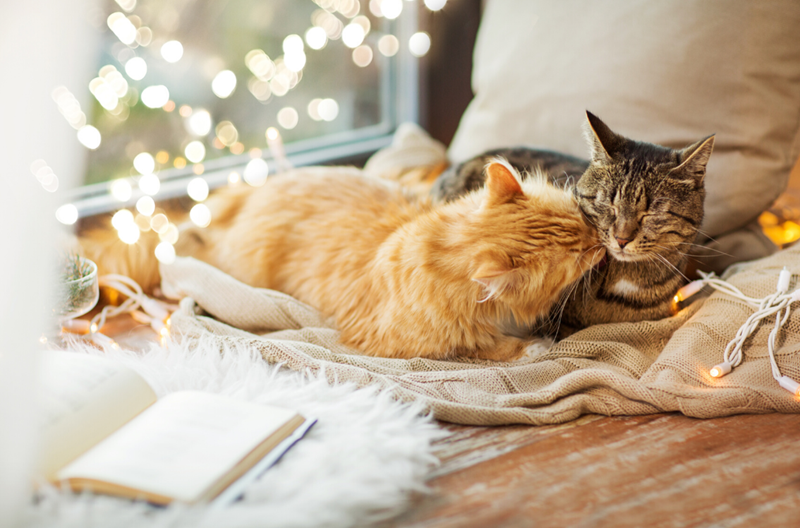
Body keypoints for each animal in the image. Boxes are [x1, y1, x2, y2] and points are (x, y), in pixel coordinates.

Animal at [84, 159, 604, 360]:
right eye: (578, 254)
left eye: (581, 216)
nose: (602, 240)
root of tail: (251, 192)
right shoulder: (402, 342)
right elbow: (484, 346)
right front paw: (532, 346)